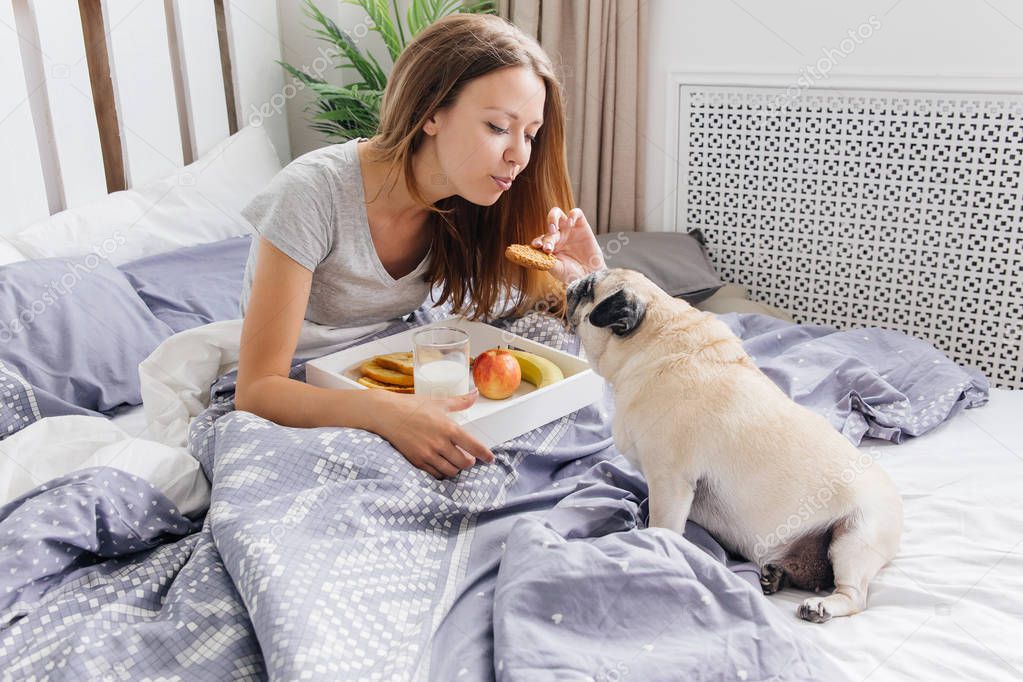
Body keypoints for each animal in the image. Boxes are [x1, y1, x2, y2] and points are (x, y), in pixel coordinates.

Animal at [568, 267, 904, 625]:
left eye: (589, 288)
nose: (574, 282)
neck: (658, 337)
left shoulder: (670, 483)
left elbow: (662, 526)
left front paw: (653, 545)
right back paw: (776, 576)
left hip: (855, 536)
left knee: (853, 596)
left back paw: (820, 606)